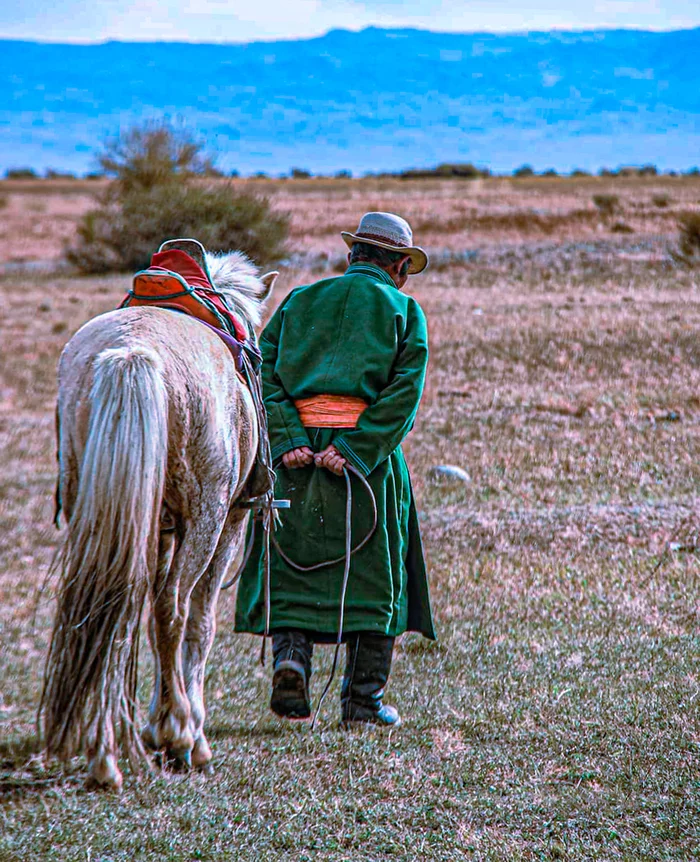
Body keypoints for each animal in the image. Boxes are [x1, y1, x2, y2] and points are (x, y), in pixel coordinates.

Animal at [39, 248, 278, 788]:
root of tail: (131, 354)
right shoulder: (226, 523)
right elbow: (197, 621)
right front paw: (177, 728)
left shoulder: (159, 528)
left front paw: (151, 724)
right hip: (209, 518)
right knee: (172, 608)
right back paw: (183, 737)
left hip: (107, 517)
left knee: (110, 605)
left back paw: (105, 756)